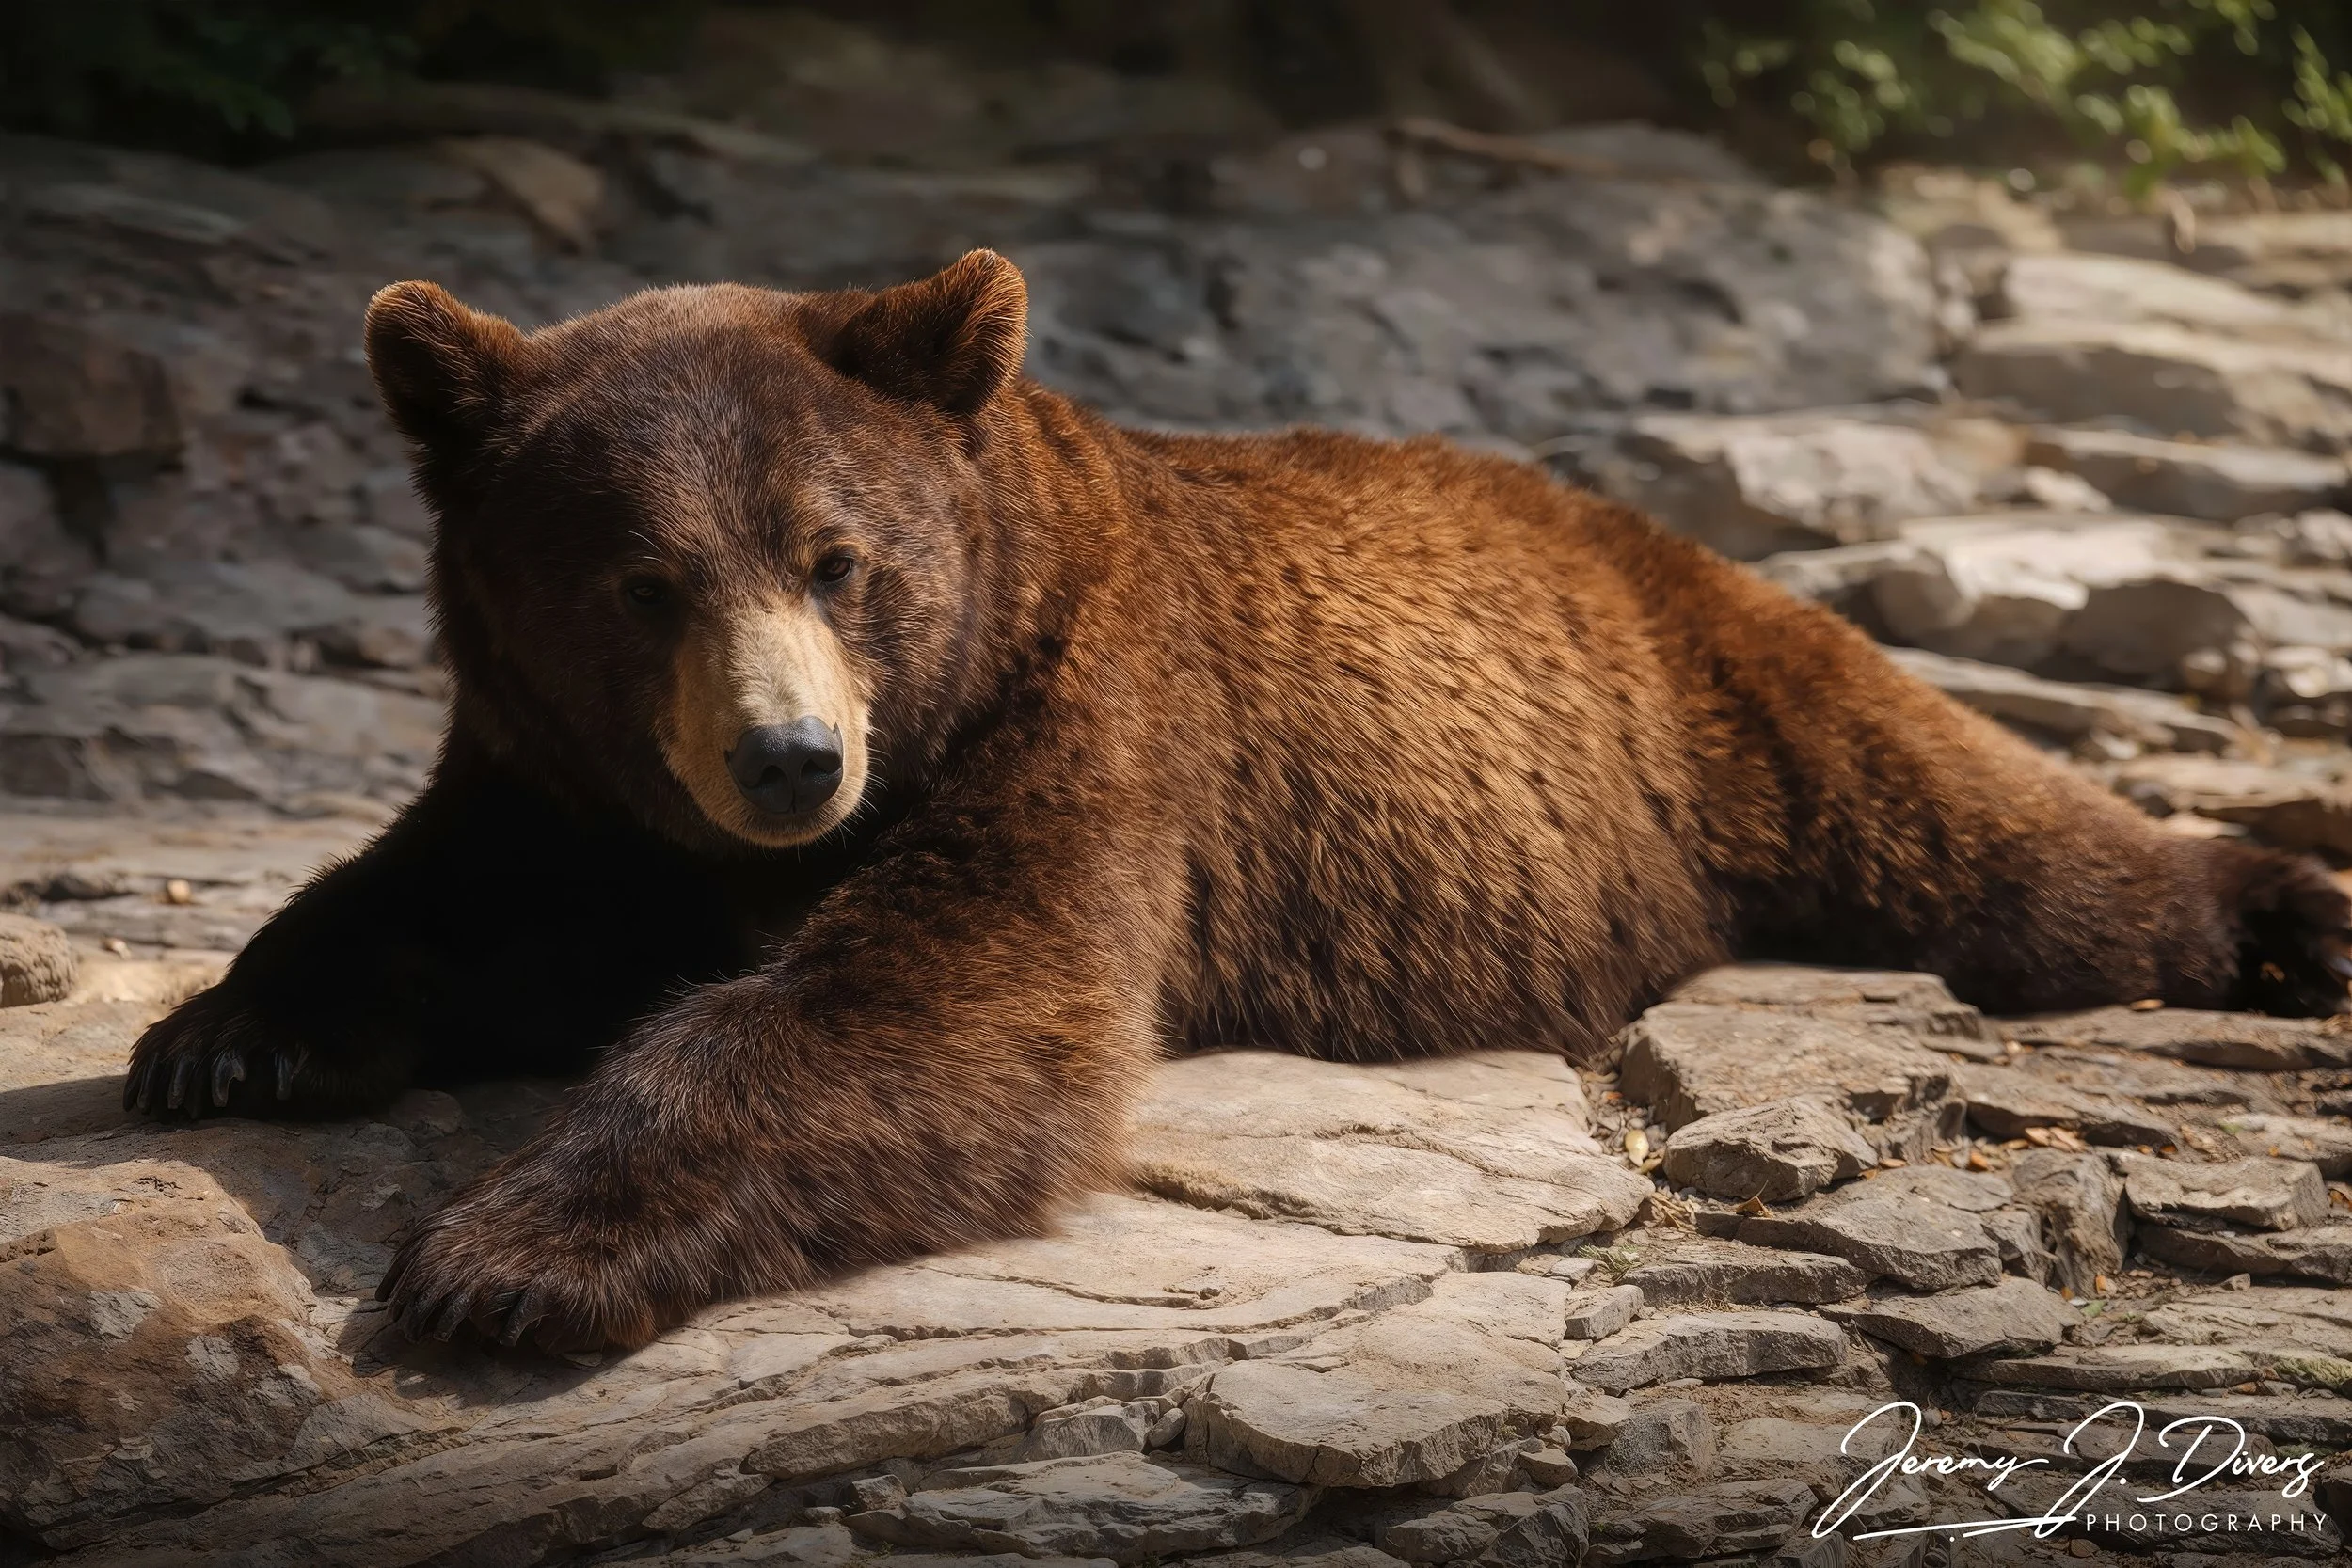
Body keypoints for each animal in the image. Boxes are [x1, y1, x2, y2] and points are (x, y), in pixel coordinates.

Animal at [125, 249, 2351, 1351]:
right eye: (639, 579)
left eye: (839, 557)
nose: (789, 762)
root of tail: (1619, 522)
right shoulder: (567, 781)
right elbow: (432, 893)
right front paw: (224, 1037)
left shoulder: (1082, 726)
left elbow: (932, 1000)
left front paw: (509, 1251)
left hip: (1714, 704)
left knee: (1979, 826)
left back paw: (2277, 902)